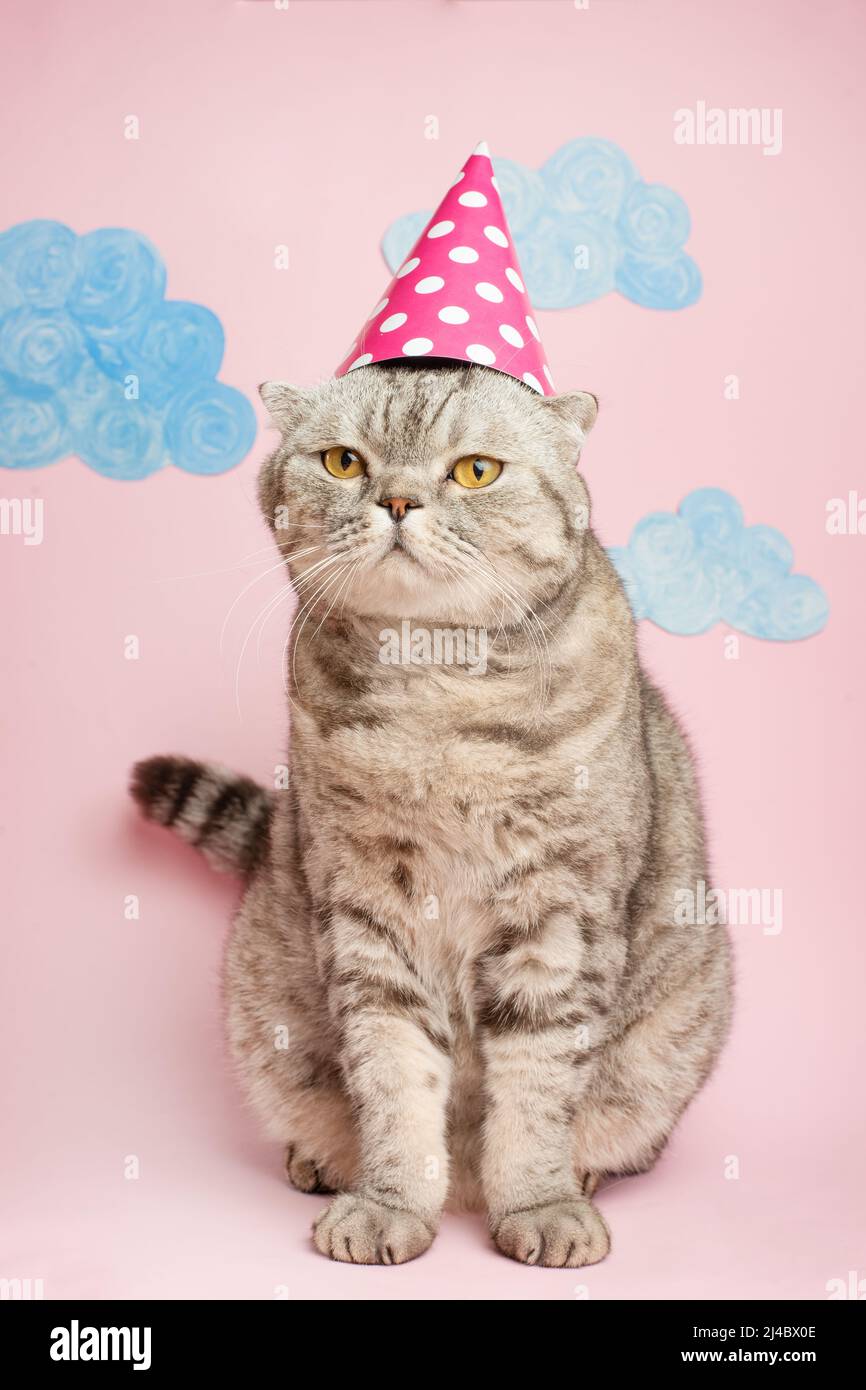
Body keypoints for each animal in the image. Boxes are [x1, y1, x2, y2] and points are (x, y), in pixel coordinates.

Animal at [134, 361, 733, 1273]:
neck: (436, 691)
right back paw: (321, 1160)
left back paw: (584, 1174)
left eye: (475, 471)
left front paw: (540, 1204)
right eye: (344, 461)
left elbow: (538, 1087)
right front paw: (389, 1203)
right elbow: (393, 1078)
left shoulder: (559, 919)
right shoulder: (367, 917)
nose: (399, 500)